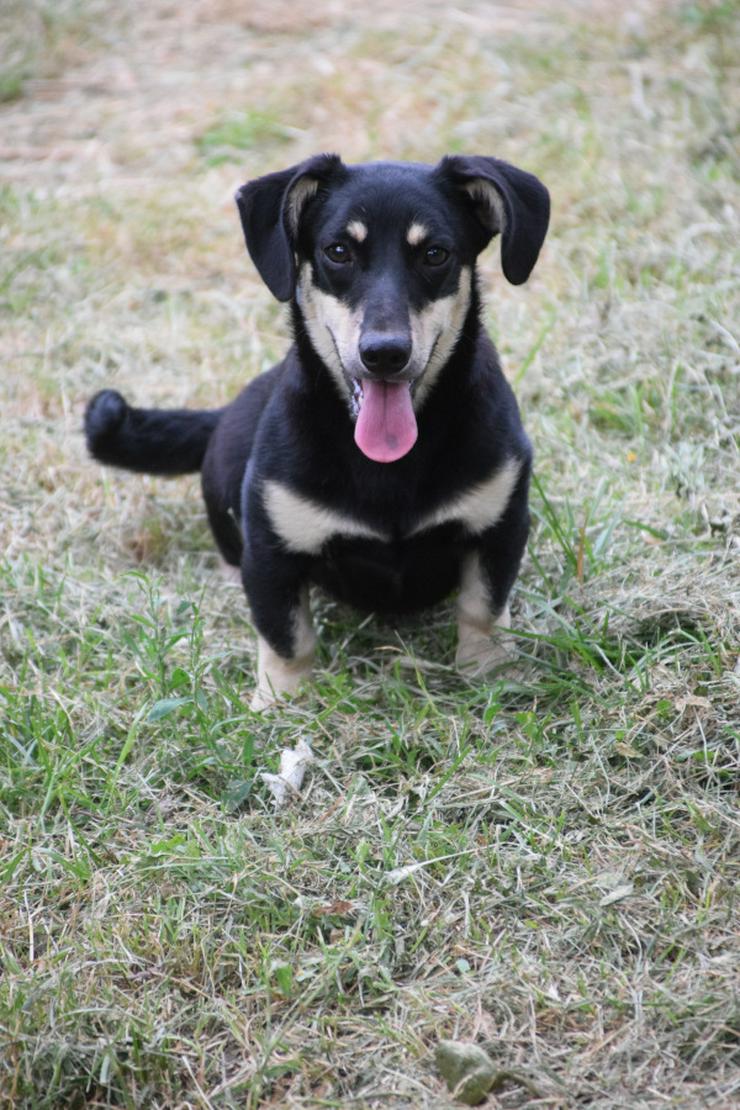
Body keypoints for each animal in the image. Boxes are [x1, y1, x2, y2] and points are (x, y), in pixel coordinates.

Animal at [87, 154, 550, 710]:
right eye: (338, 251)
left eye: (435, 254)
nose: (385, 353)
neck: (388, 465)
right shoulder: (271, 551)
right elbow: (287, 636)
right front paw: (280, 704)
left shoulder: (500, 525)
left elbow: (483, 607)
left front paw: (490, 675)